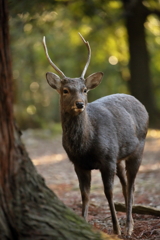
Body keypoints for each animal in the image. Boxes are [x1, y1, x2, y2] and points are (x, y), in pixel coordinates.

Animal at [42, 32, 149, 235]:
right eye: (65, 90)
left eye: (84, 90)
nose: (80, 104)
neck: (85, 146)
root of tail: (140, 103)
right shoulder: (78, 163)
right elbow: (85, 194)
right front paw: (84, 222)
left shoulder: (107, 158)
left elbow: (108, 192)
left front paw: (116, 229)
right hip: (119, 156)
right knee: (125, 185)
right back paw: (128, 222)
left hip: (138, 148)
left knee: (131, 185)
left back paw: (129, 226)